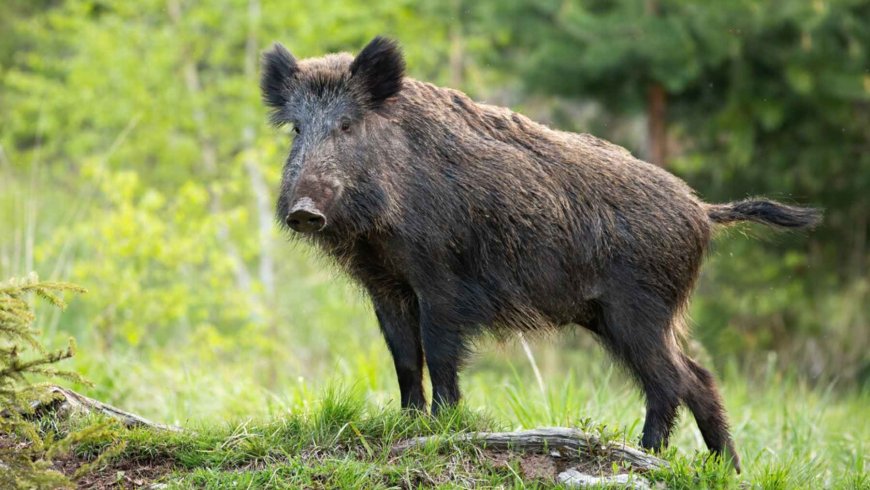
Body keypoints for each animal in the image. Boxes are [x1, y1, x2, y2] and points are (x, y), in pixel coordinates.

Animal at [261, 36, 821, 472]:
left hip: (638, 308)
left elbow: (438, 354)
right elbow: (402, 358)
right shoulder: (386, 285)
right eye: (296, 129)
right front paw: (408, 425)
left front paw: (443, 427)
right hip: (617, 316)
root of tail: (703, 210)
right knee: (698, 377)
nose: (304, 211)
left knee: (673, 380)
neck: (380, 230)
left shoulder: (442, 280)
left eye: (347, 125)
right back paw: (725, 469)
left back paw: (646, 455)